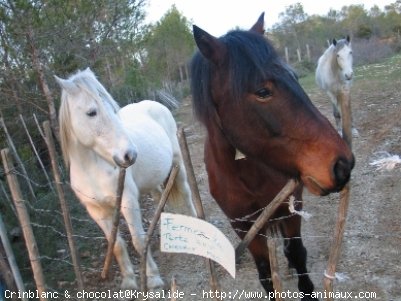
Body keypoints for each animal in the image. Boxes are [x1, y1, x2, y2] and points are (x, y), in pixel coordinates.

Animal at [55, 67, 195, 288]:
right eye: (91, 112)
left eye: (113, 110)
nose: (130, 154)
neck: (92, 169)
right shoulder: (97, 211)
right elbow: (117, 246)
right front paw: (129, 281)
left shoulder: (127, 202)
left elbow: (138, 240)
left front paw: (153, 278)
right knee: (160, 198)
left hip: (178, 165)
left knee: (187, 194)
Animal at [191, 12, 354, 298]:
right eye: (263, 92)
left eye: (295, 77)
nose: (342, 164)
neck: (248, 175)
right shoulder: (244, 227)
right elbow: (265, 272)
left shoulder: (290, 210)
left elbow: (297, 254)